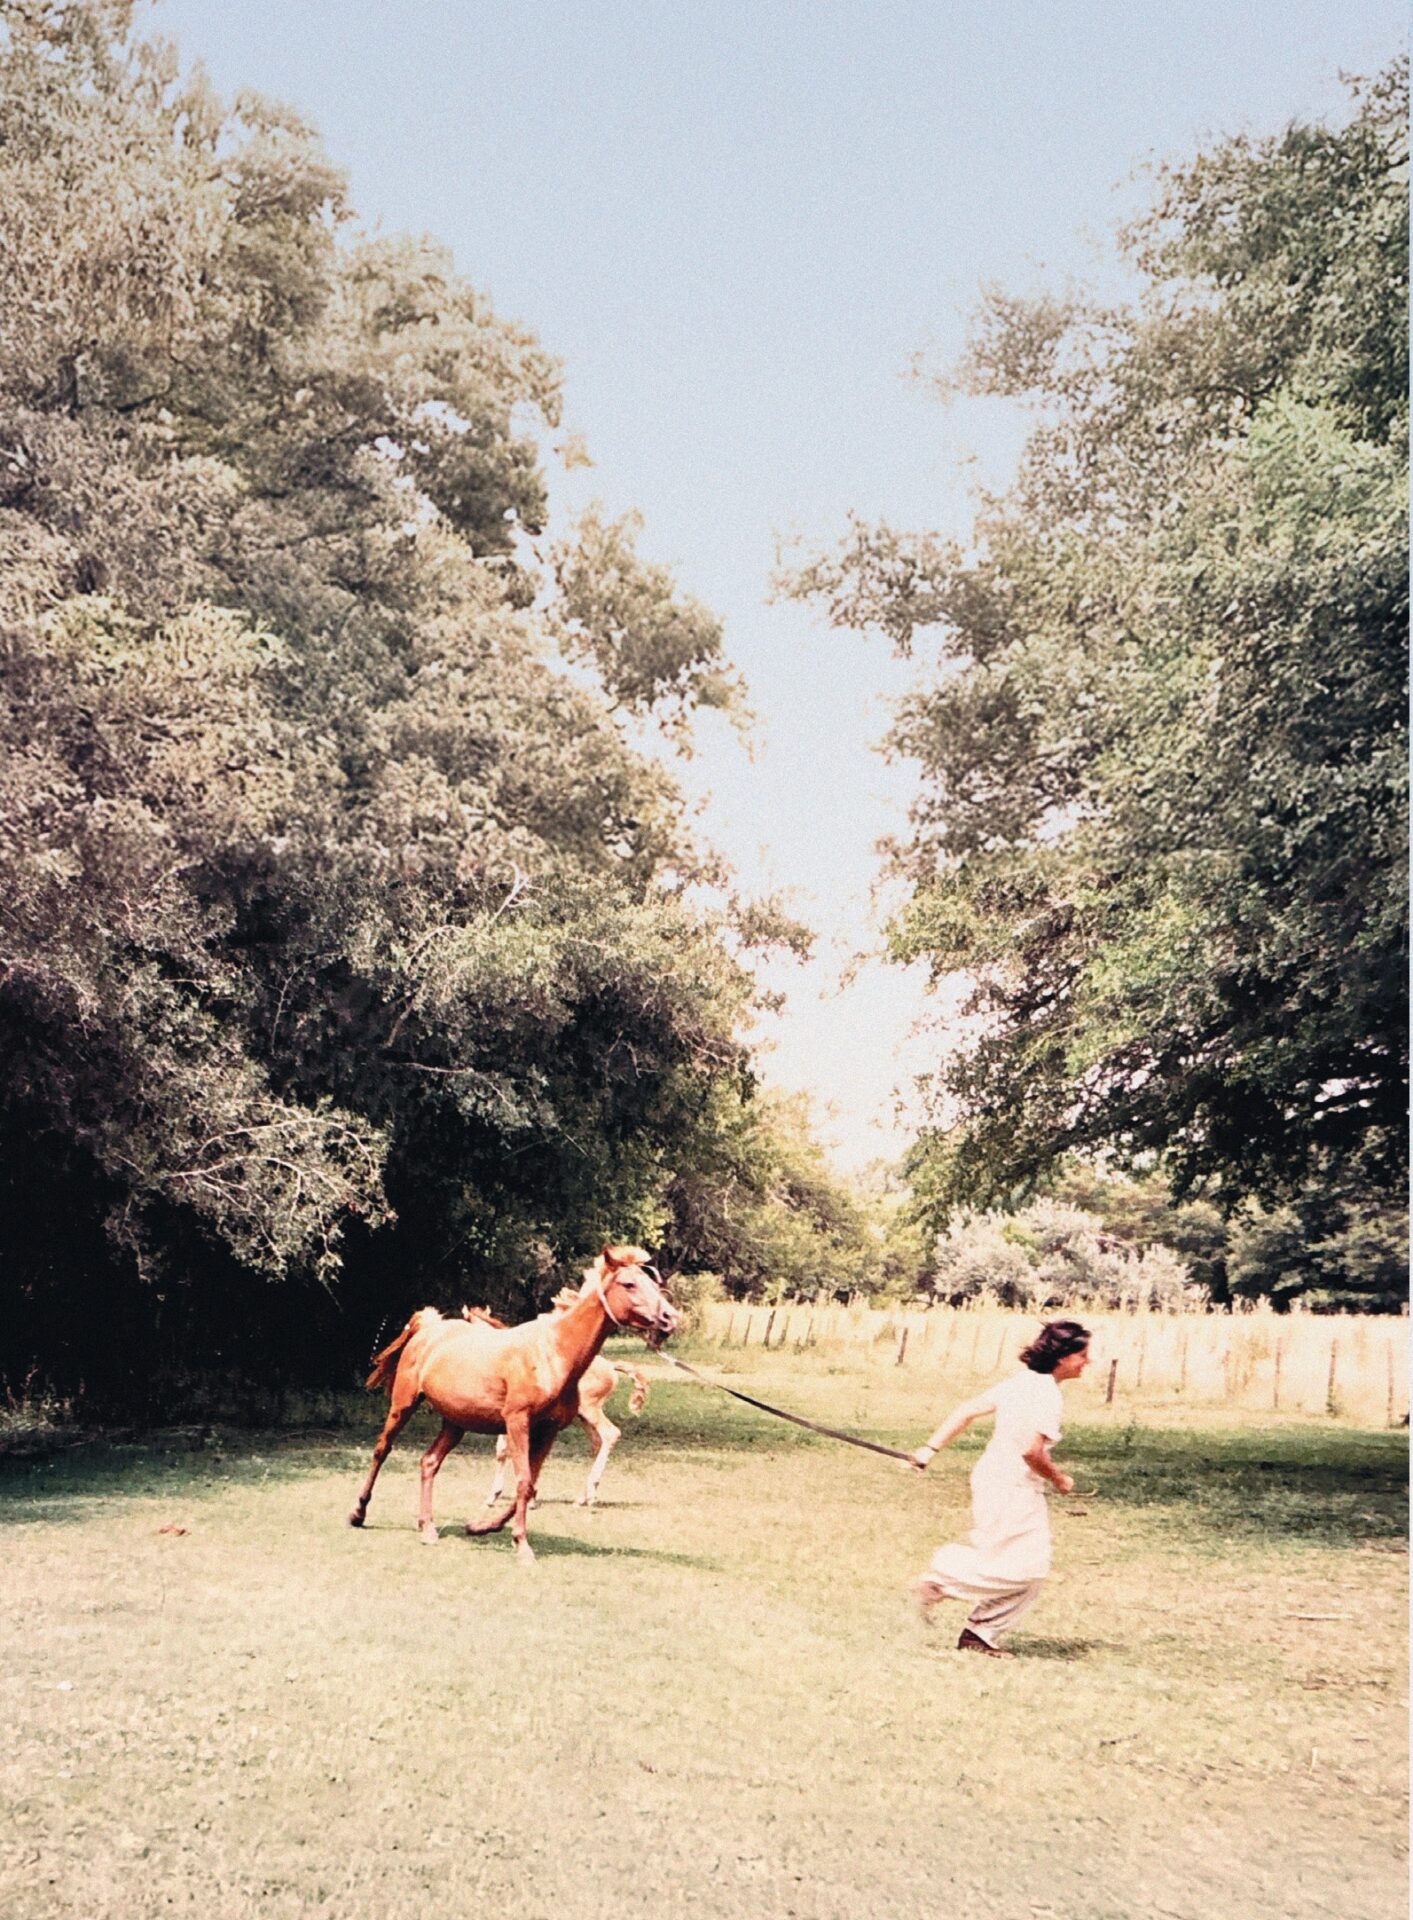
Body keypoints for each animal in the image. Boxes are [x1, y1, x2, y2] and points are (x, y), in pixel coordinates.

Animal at [469, 1290, 651, 1510]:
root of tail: (610, 1366)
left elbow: (504, 1450)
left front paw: (497, 1496)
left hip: (590, 1409)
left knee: (610, 1434)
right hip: (584, 1417)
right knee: (597, 1443)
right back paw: (585, 1497)